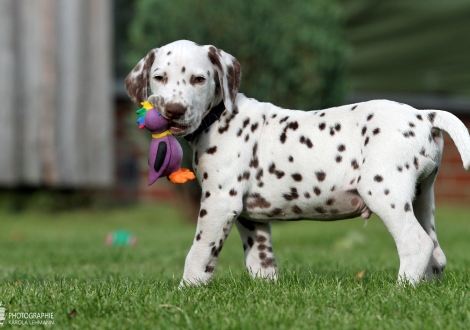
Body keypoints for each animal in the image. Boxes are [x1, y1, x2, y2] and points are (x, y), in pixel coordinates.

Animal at [125, 38, 470, 286]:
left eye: (199, 79)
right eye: (159, 77)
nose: (173, 111)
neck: (220, 116)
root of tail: (423, 115)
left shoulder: (220, 203)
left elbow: (198, 253)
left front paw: (187, 290)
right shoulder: (250, 217)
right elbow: (260, 260)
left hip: (384, 193)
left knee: (416, 243)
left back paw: (400, 291)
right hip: (423, 196)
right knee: (436, 252)